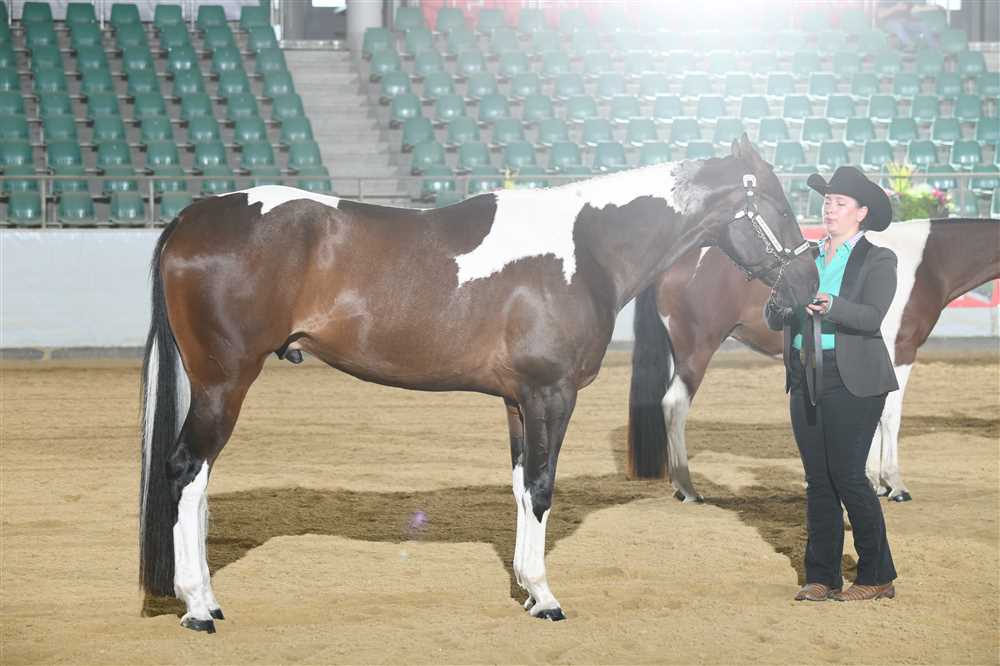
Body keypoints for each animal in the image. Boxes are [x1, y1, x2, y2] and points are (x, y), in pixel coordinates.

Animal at [138, 137, 818, 633]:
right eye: (782, 207)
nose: (809, 284)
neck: (587, 248)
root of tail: (189, 217)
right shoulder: (551, 394)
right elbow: (541, 488)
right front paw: (546, 597)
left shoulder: (519, 401)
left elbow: (520, 487)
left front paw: (527, 587)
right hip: (225, 381)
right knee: (187, 470)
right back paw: (197, 606)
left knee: (198, 479)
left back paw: (205, 597)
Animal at [627, 218, 999, 503]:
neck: (924, 263)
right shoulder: (901, 351)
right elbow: (890, 415)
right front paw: (895, 484)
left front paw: (872, 481)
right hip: (697, 351)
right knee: (674, 405)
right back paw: (689, 488)